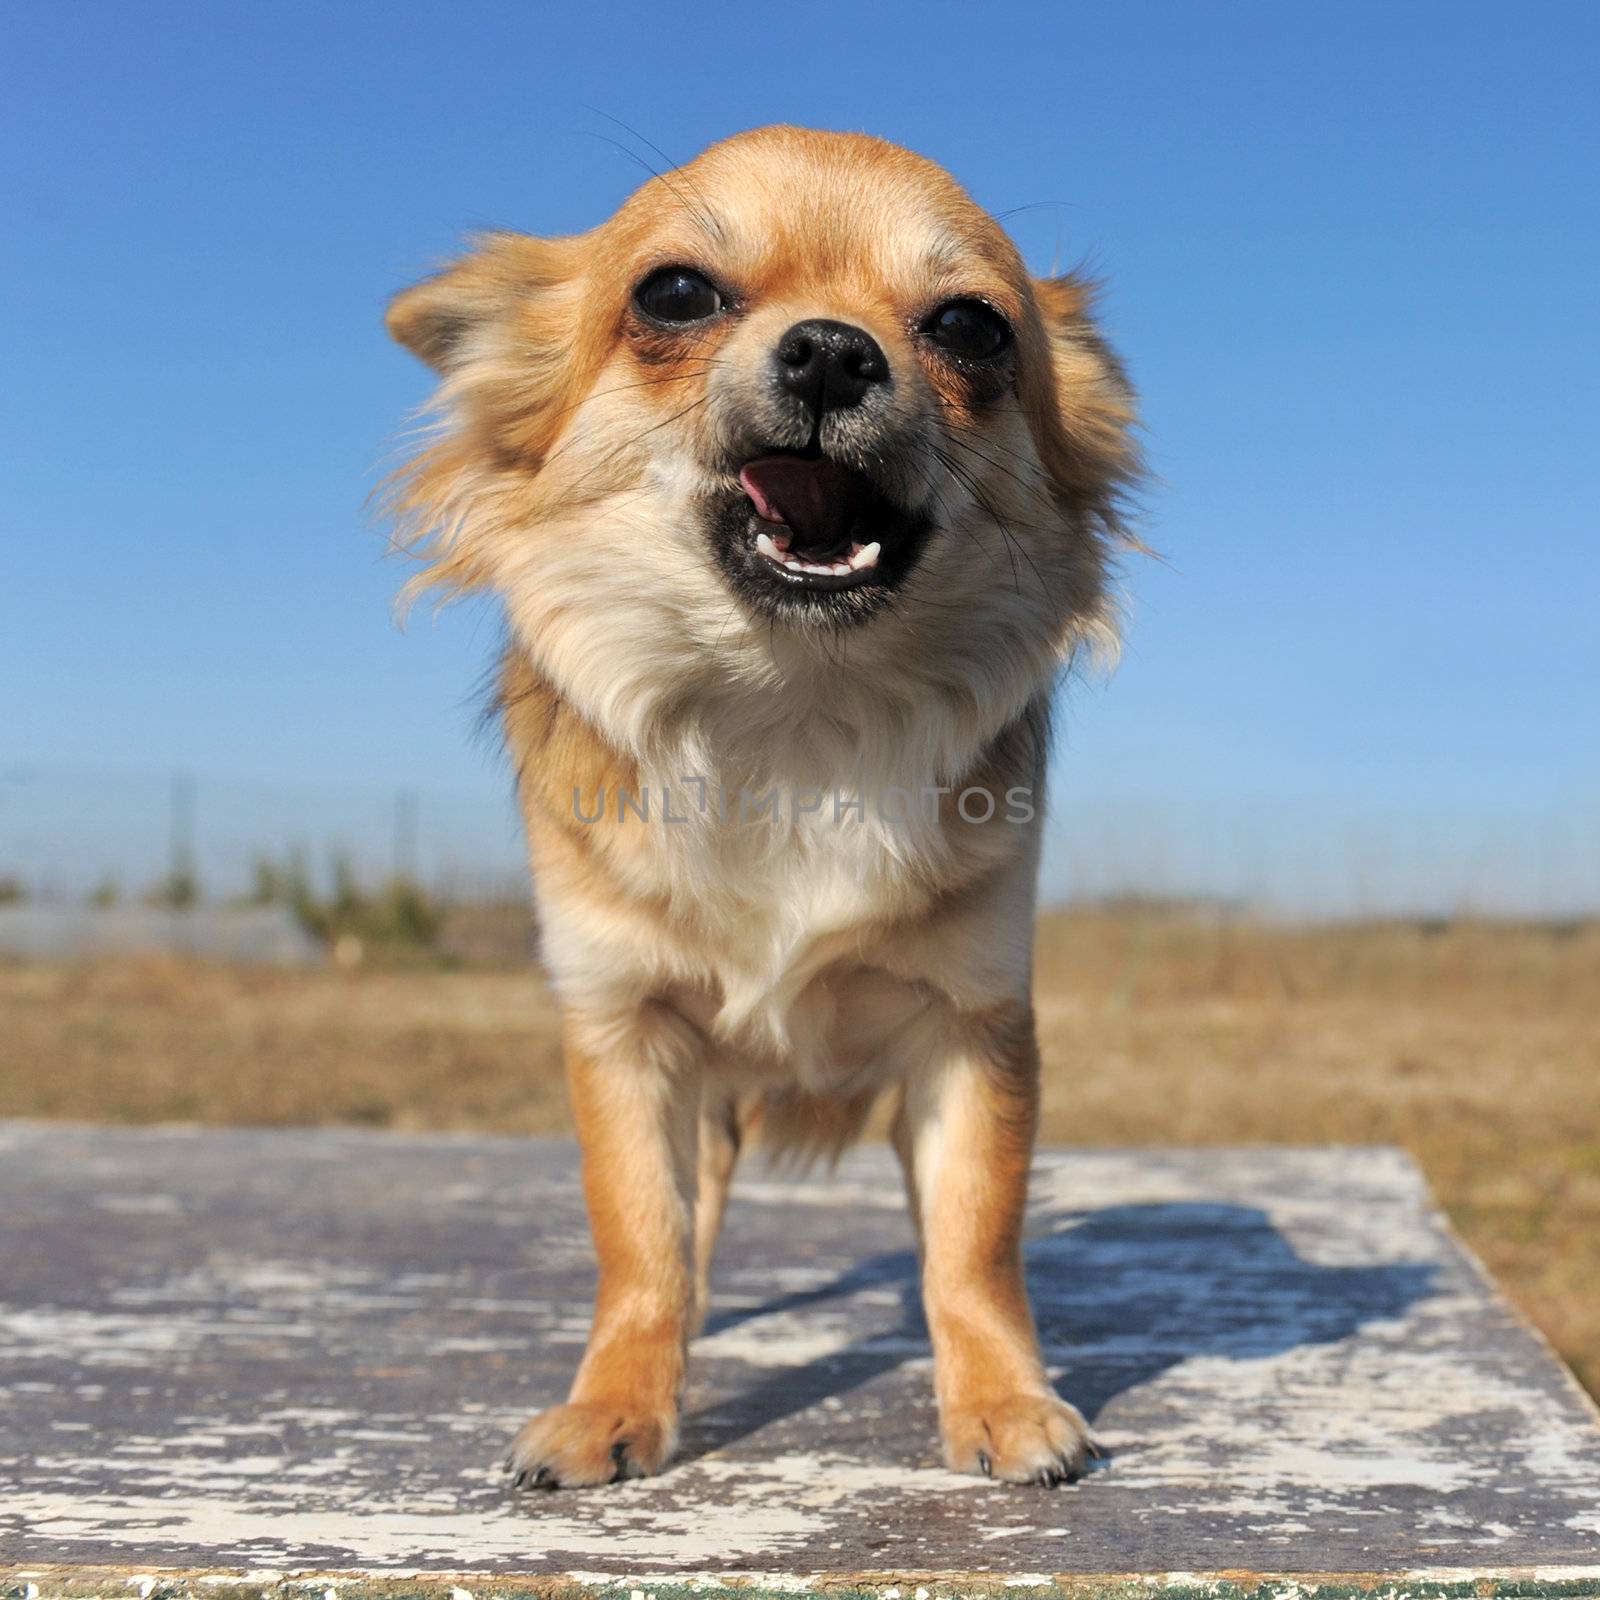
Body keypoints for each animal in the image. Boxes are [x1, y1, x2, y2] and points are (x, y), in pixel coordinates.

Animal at [385, 124, 1139, 1484]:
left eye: (971, 327)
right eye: (675, 293)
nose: (833, 348)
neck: (793, 714)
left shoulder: (973, 1030)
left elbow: (974, 1237)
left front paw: (1002, 1397)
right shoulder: (623, 1028)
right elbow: (640, 1233)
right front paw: (615, 1400)